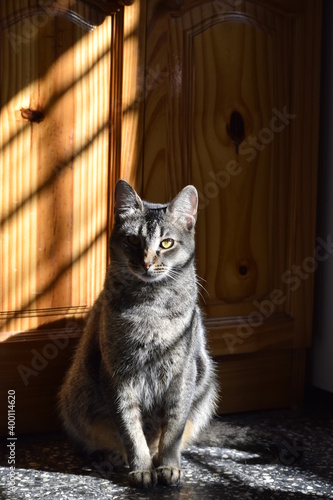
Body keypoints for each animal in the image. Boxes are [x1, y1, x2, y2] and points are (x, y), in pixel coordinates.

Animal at [58, 181, 217, 488]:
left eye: (166, 243)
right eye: (132, 241)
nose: (146, 262)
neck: (150, 306)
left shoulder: (183, 374)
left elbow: (173, 430)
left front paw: (168, 466)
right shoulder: (117, 374)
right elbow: (130, 430)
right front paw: (141, 468)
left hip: (206, 389)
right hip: (76, 396)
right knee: (88, 442)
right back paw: (110, 456)